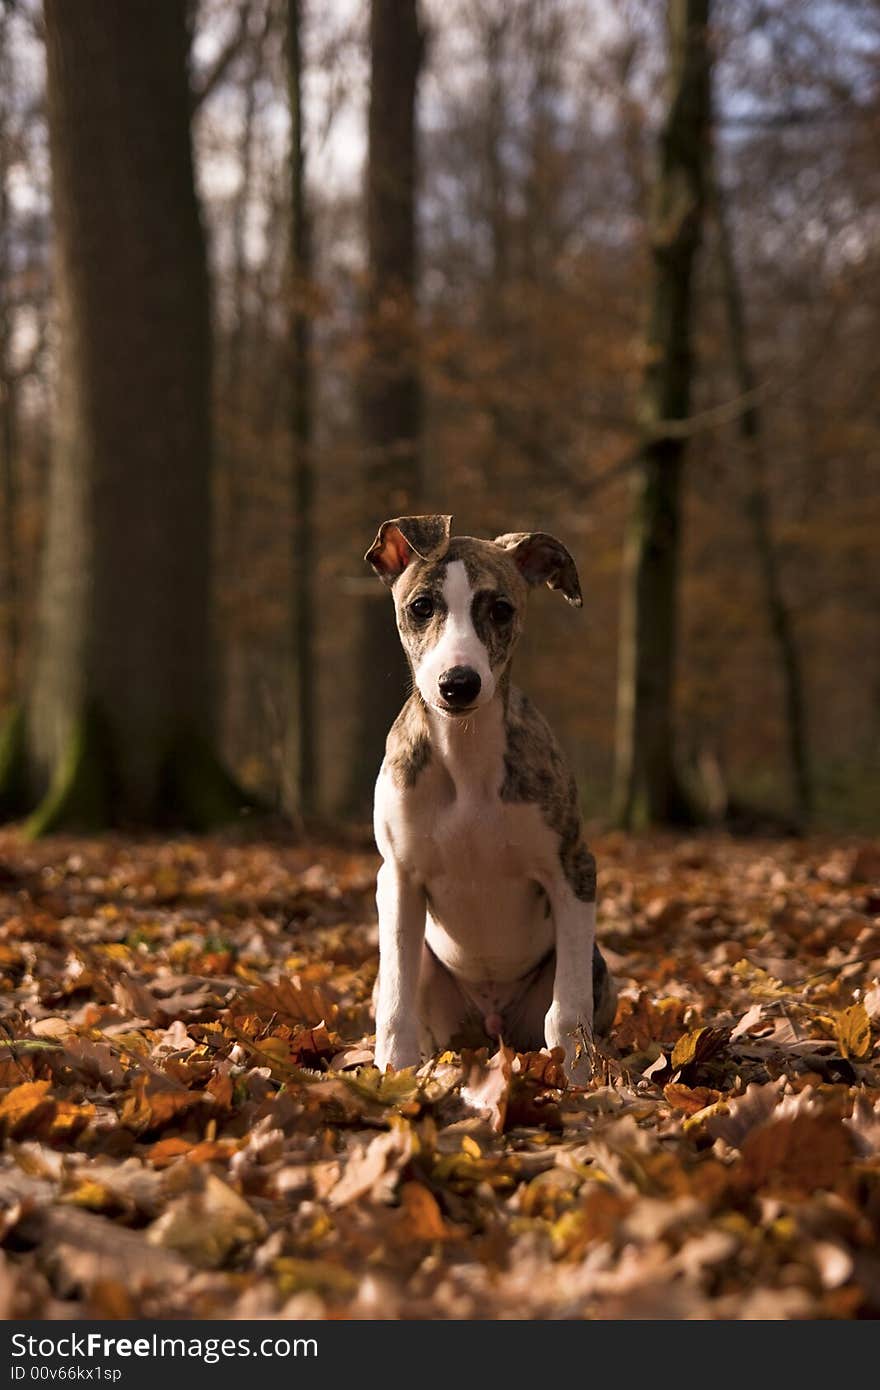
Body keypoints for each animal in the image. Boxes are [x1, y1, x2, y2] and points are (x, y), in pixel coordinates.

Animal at [367, 517, 614, 1078]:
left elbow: (567, 1011)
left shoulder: (573, 870)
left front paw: (578, 1077)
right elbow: (395, 1003)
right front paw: (395, 1073)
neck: (466, 756)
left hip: (595, 968)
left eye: (501, 609)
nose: (458, 684)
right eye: (421, 606)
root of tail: (492, 1022)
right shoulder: (398, 878)